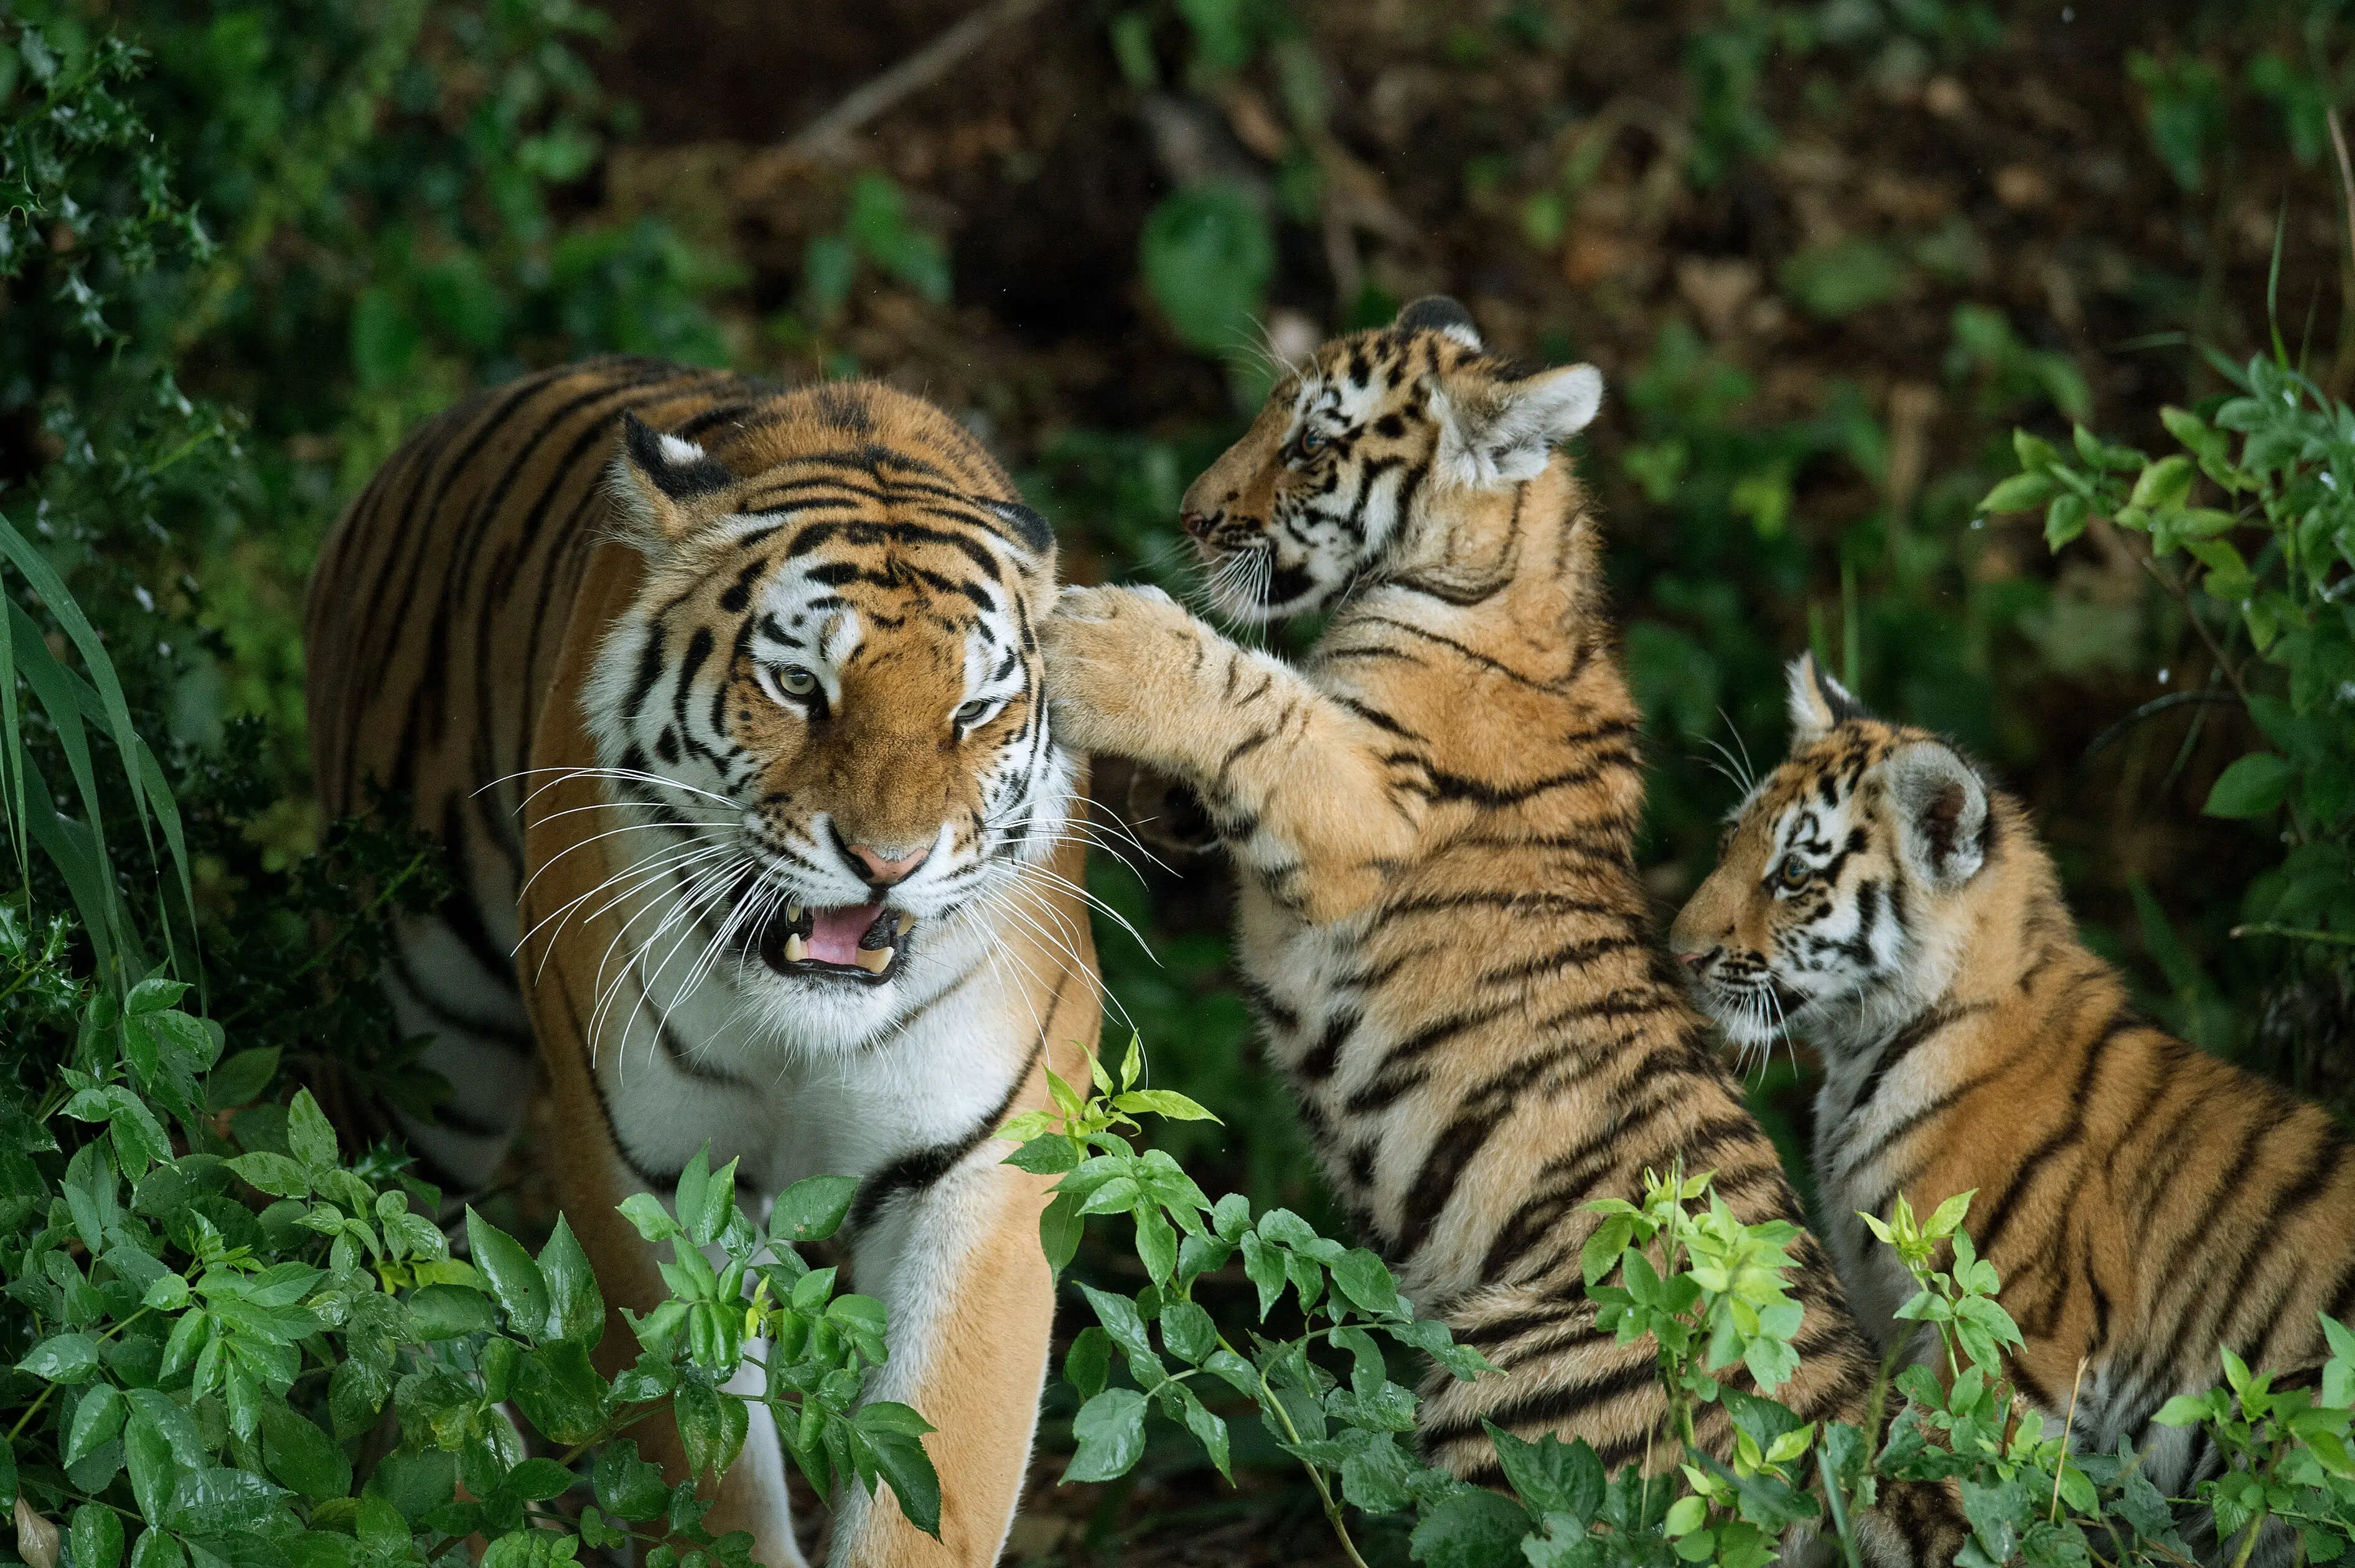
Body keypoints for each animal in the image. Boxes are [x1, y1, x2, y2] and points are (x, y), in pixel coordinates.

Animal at [305, 357, 1101, 1568]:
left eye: (971, 711)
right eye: (800, 687)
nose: (887, 861)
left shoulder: (972, 1180)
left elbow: (929, 1481)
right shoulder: (647, 1175)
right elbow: (706, 1467)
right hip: (423, 1035)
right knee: (391, 1275)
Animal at [1040, 298, 1965, 1563]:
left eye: (1311, 444)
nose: (1190, 514)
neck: (1494, 567)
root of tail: (1836, 1419)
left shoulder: (1360, 808)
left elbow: (1251, 695)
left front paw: (1102, 638)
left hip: (1511, 1410)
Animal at [1668, 652, 2355, 1559]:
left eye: (1793, 874)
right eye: (1728, 842)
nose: (1678, 951)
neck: (1866, 1054)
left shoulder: (1998, 1343)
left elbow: (1960, 1498)